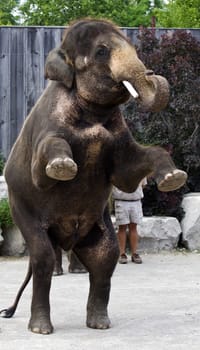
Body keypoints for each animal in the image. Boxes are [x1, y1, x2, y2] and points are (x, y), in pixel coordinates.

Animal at [0, 18, 188, 334]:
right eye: (101, 52)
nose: (152, 74)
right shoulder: (46, 126)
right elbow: (44, 166)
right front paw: (63, 166)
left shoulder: (120, 139)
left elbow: (127, 171)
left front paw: (174, 177)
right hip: (21, 208)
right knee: (42, 257)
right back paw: (41, 328)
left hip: (97, 231)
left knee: (105, 259)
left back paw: (99, 324)